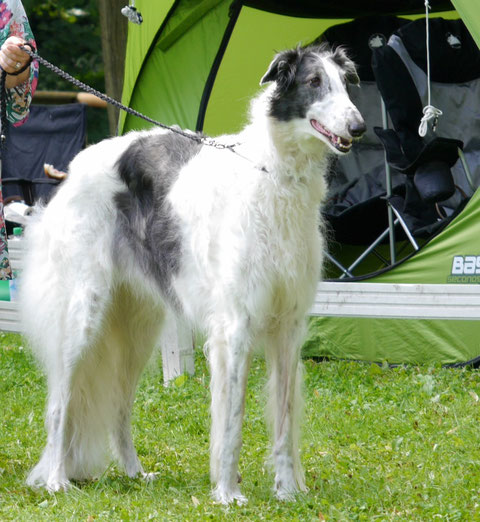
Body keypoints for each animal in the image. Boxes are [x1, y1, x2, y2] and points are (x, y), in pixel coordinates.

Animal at [19, 43, 364, 500]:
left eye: (345, 83)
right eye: (313, 82)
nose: (359, 127)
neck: (274, 174)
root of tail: (72, 170)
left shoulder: (288, 325)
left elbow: (284, 420)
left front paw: (287, 491)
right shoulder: (234, 325)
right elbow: (232, 422)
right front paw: (229, 494)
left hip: (136, 329)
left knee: (118, 410)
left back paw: (135, 473)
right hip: (82, 317)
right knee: (61, 403)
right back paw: (56, 479)